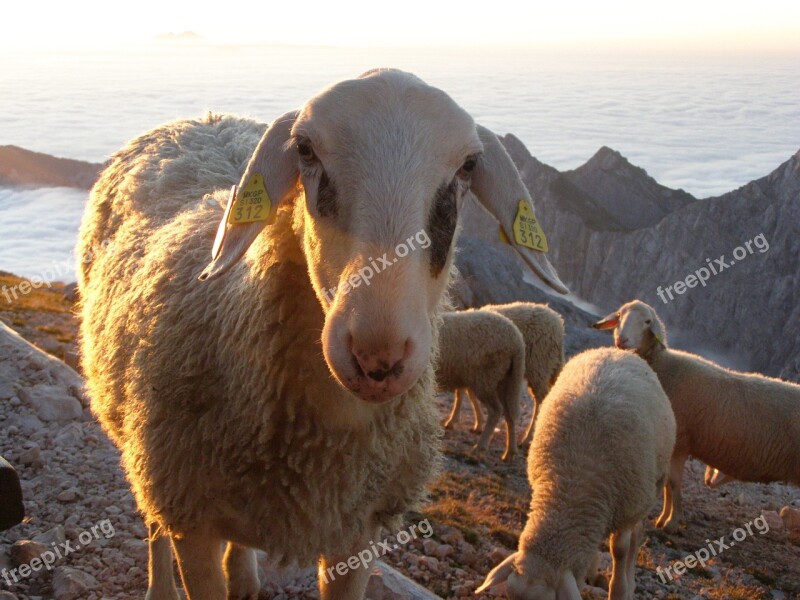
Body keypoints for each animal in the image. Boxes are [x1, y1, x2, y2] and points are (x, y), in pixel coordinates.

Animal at [434, 308, 528, 462]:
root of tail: (517, 340)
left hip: (485, 379)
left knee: (496, 410)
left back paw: (480, 447)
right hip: (506, 379)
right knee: (509, 413)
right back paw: (510, 452)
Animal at [444, 300, 564, 446]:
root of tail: (557, 321)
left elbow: (463, 393)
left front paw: (453, 421)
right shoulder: (467, 368)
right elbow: (466, 393)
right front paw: (478, 423)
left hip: (538, 364)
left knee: (541, 399)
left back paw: (528, 438)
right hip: (551, 364)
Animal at [476, 346, 676, 600]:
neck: (573, 485)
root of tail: (615, 351)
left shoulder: (627, 505)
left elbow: (620, 549)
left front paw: (619, 590)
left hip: (649, 489)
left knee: (636, 536)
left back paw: (629, 581)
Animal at [592, 300, 800, 536]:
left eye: (647, 321)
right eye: (619, 315)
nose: (621, 340)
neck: (662, 365)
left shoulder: (680, 443)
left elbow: (673, 484)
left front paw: (671, 522)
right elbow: (669, 486)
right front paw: (664, 518)